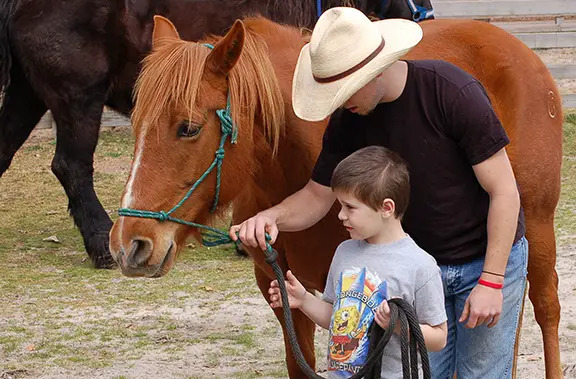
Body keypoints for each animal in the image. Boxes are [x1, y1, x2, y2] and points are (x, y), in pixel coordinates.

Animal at [108, 15, 564, 379]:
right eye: (135, 123)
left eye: (188, 128)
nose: (128, 244)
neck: (291, 164)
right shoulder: (280, 287)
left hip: (536, 227)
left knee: (545, 308)